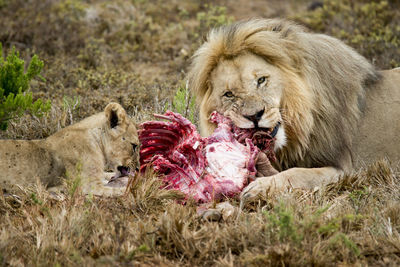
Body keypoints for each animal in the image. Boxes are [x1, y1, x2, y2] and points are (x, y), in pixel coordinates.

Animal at [0, 102, 138, 197]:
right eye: (134, 146)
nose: (137, 168)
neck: (97, 141)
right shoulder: (89, 186)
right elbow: (122, 190)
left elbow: (108, 175)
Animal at [188, 18, 400, 203]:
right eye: (229, 94)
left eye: (261, 80)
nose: (254, 116)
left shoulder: (347, 170)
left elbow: (298, 173)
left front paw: (259, 188)